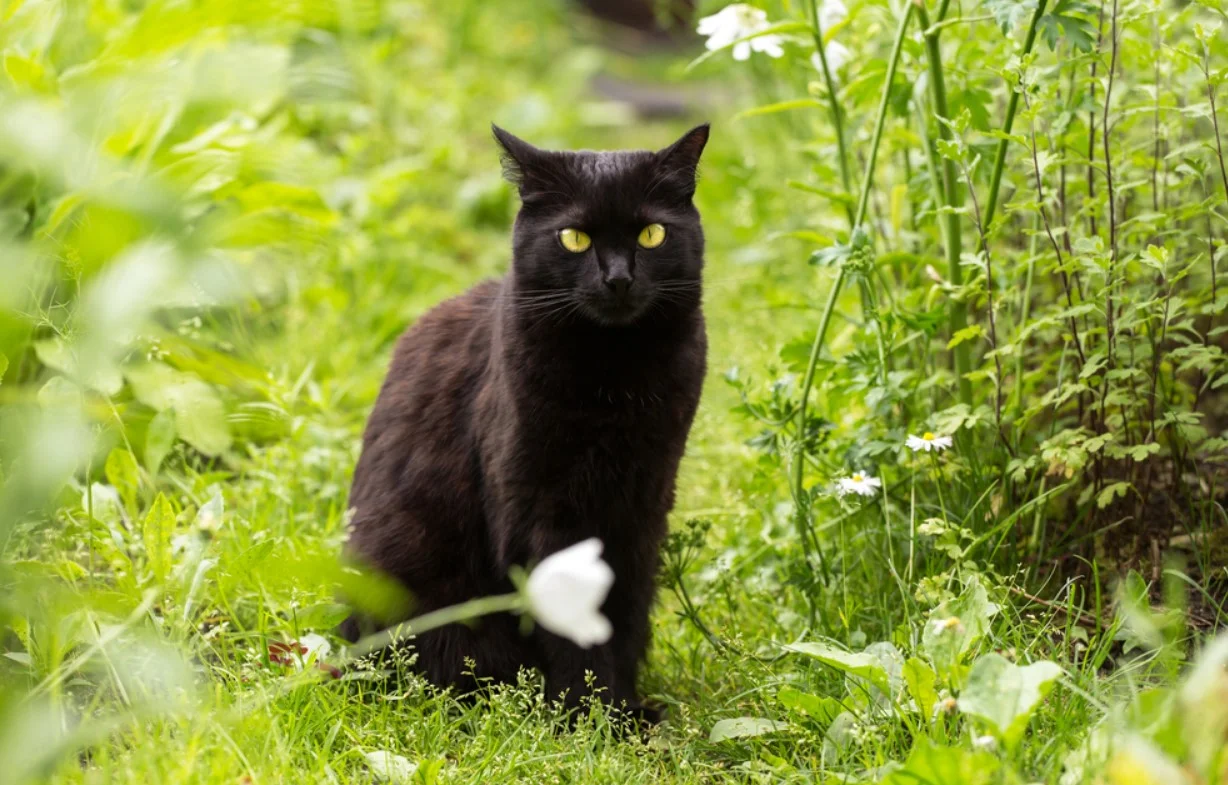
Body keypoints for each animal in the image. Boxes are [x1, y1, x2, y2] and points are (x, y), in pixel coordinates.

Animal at [343, 122, 712, 717]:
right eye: (574, 238)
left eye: (652, 235)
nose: (618, 279)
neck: (613, 379)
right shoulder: (538, 510)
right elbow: (570, 619)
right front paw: (587, 716)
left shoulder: (643, 505)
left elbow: (624, 613)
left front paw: (622, 710)